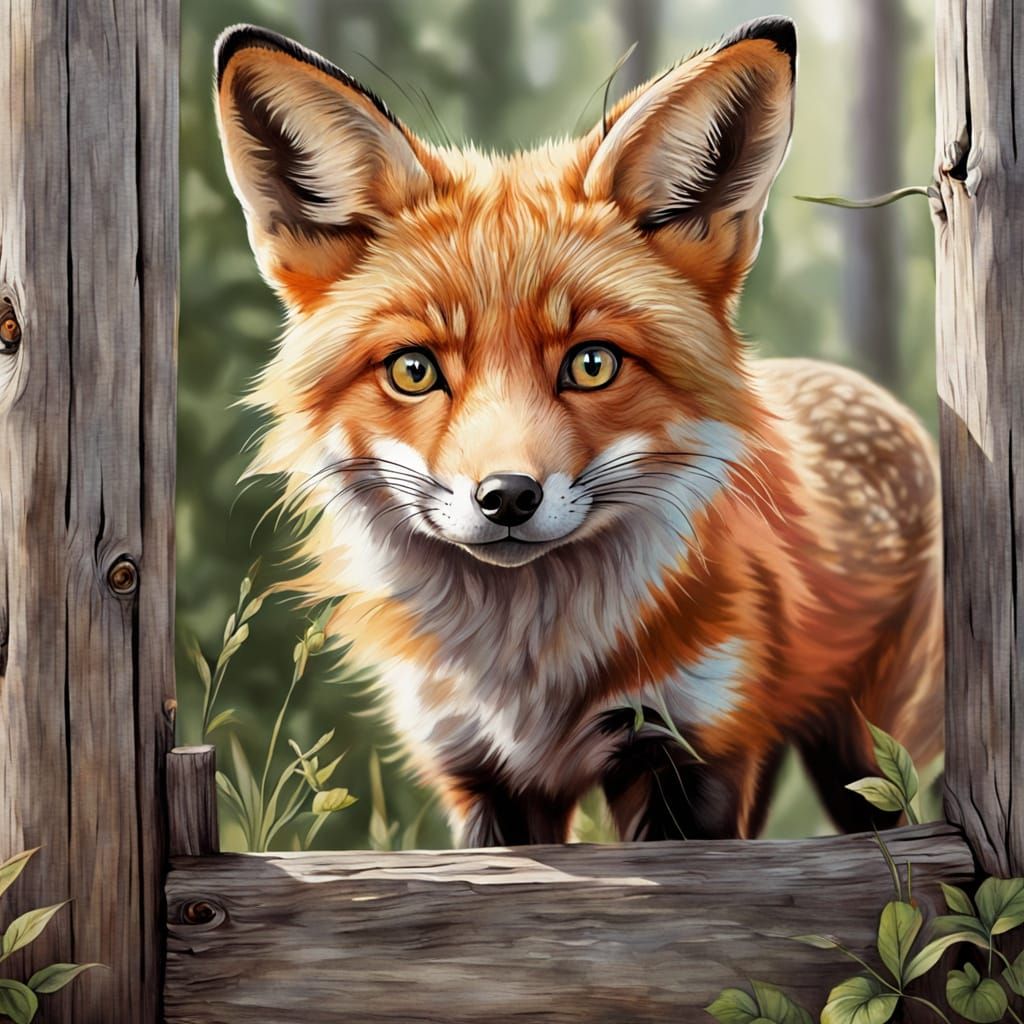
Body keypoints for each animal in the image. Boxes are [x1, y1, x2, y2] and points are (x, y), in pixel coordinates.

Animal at [213, 16, 943, 846]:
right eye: (414, 371)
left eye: (592, 364)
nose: (506, 497)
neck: (526, 677)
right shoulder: (480, 774)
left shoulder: (690, 751)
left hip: (860, 752)